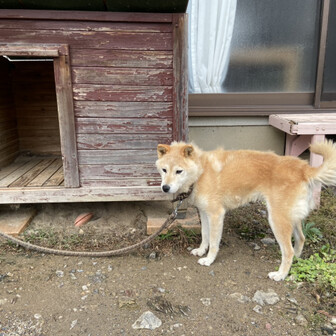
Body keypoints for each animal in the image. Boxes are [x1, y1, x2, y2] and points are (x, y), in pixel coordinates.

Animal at [156, 140, 336, 280]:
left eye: (179, 171)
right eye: (164, 170)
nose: (165, 188)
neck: (201, 172)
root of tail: (303, 168)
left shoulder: (216, 214)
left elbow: (213, 242)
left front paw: (209, 260)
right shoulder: (204, 213)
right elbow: (205, 236)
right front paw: (201, 251)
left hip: (277, 220)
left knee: (288, 251)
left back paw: (280, 275)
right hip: (291, 218)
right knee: (301, 239)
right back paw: (296, 262)